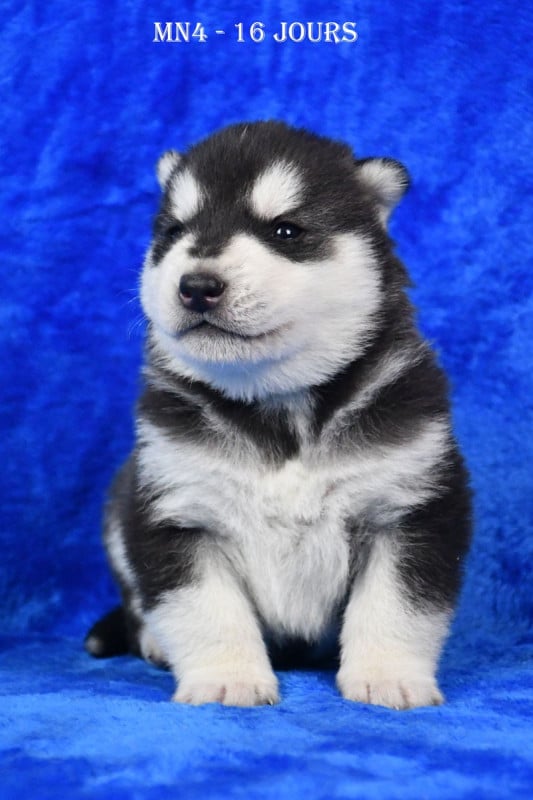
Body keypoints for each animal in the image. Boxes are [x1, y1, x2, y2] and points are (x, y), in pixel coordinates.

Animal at [85, 121, 471, 709]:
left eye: (285, 231)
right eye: (174, 231)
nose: (197, 285)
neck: (280, 404)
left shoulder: (411, 506)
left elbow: (396, 605)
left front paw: (387, 676)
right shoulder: (176, 506)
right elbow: (206, 610)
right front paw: (227, 679)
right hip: (118, 502)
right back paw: (151, 639)